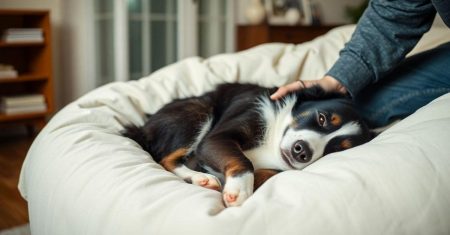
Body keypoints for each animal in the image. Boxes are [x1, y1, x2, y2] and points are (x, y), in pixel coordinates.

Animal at [122, 83, 372, 207]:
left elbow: (269, 172)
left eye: (337, 148)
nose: (302, 151)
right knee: (165, 158)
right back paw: (201, 178)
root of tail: (143, 127)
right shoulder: (217, 137)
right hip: (199, 109)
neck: (273, 137)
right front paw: (238, 190)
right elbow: (244, 161)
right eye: (322, 118)